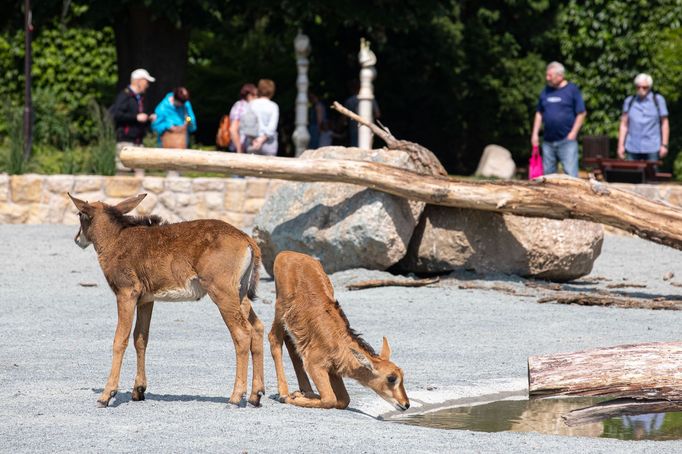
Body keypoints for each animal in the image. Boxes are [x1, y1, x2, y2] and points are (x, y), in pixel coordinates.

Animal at [66, 192, 262, 408]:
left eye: (80, 214)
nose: (77, 239)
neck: (116, 238)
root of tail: (246, 240)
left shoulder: (126, 294)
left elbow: (120, 339)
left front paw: (106, 394)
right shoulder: (146, 300)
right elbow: (140, 338)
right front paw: (138, 390)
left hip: (222, 292)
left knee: (242, 333)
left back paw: (236, 396)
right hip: (240, 294)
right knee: (257, 328)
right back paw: (256, 395)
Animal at [266, 250, 410, 410]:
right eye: (391, 378)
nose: (406, 404)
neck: (338, 341)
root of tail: (286, 254)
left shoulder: (333, 371)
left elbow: (343, 400)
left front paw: (302, 394)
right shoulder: (314, 365)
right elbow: (329, 399)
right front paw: (292, 397)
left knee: (291, 343)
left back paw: (305, 391)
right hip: (280, 308)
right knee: (274, 338)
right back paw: (284, 393)